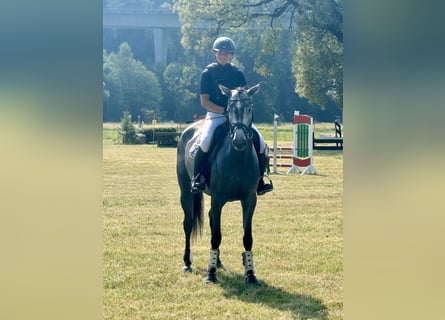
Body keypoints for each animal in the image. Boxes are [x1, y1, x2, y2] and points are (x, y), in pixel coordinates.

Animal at [176, 84, 260, 284]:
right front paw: (211, 274)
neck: (237, 158)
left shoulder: (249, 200)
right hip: (186, 192)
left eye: (249, 108)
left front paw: (250, 273)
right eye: (229, 109)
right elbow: (216, 236)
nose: (239, 141)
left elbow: (247, 237)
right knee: (188, 223)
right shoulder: (218, 199)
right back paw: (187, 262)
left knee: (210, 218)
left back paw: (218, 262)